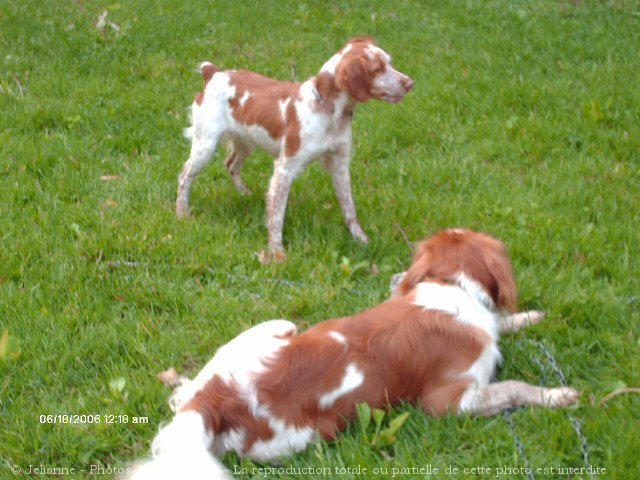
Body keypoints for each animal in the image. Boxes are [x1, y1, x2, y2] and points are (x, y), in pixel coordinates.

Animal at [127, 228, 576, 476]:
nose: (395, 278)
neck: (454, 288)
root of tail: (215, 400)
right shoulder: (450, 401)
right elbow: (514, 386)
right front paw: (557, 395)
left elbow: (503, 322)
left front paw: (530, 316)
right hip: (306, 434)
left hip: (276, 326)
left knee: (185, 389)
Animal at [176, 37, 416, 260]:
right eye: (378, 69)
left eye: (389, 62)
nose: (410, 83)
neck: (328, 110)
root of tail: (214, 73)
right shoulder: (285, 169)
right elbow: (277, 217)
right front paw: (277, 253)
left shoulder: (339, 163)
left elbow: (349, 209)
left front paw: (362, 240)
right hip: (205, 146)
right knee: (185, 176)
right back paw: (182, 213)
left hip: (246, 143)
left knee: (231, 164)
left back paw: (244, 194)